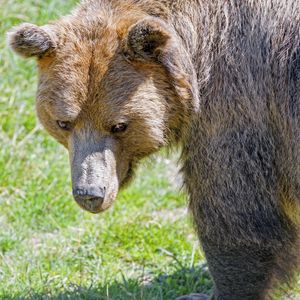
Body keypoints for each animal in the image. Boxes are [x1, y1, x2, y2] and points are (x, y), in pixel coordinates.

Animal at [7, 0, 300, 300]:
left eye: (119, 125)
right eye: (63, 122)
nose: (90, 193)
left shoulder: (240, 109)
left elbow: (236, 214)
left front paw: (207, 292)